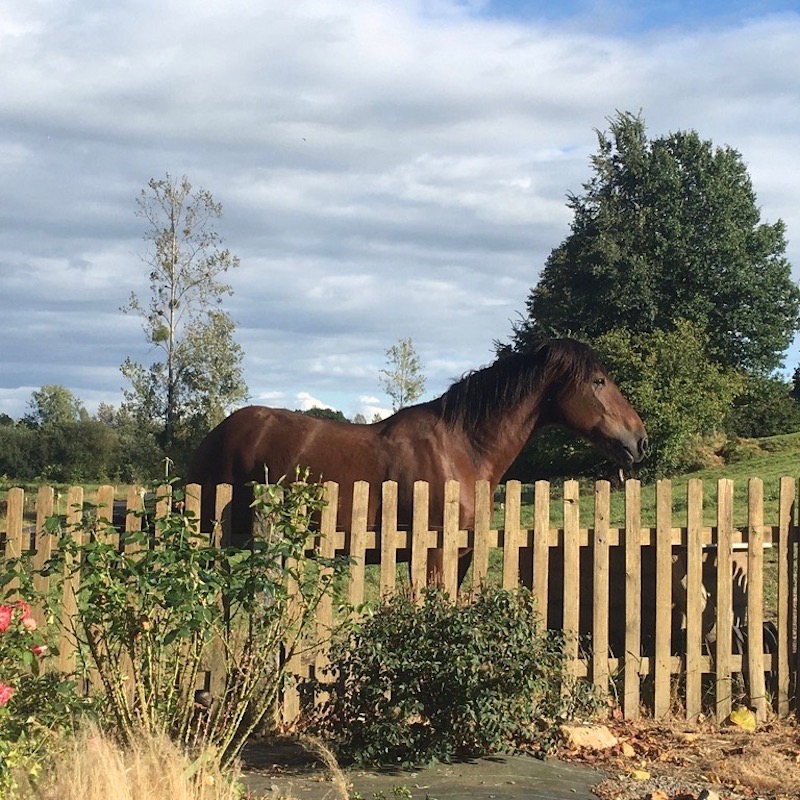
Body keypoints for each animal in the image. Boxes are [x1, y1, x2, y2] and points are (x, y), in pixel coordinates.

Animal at [184, 338, 648, 580]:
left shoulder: (460, 555)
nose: (640, 440)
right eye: (598, 381)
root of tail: (215, 435)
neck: (461, 447)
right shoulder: (435, 553)